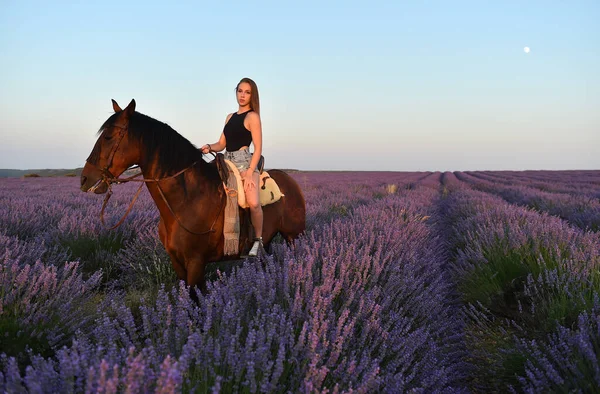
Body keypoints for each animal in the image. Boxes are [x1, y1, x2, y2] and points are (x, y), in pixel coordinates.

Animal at [79, 99, 304, 298]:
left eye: (109, 137)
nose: (84, 179)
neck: (187, 200)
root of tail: (291, 182)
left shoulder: (196, 263)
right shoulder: (177, 262)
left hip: (293, 238)